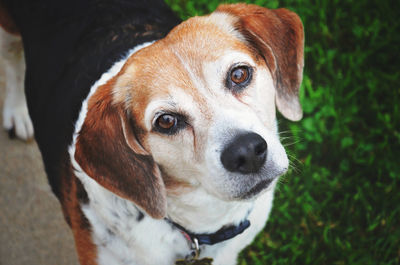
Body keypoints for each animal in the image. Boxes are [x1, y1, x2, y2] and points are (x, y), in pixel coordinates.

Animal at [0, 0, 304, 264]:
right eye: (166, 121)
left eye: (239, 74)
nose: (247, 152)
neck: (201, 224)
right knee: (13, 63)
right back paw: (17, 111)